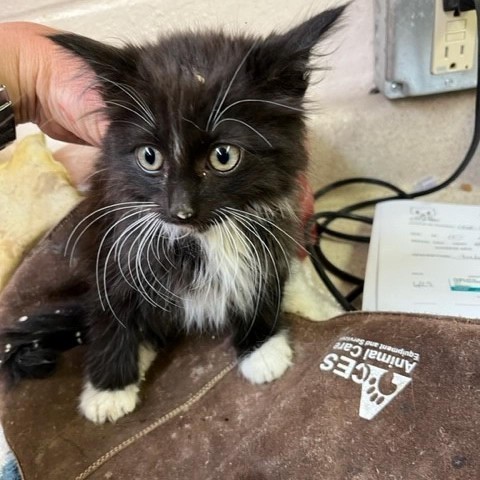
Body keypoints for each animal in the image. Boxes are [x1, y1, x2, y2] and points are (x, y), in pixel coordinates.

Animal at [0, 5, 344, 422]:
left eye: (223, 156)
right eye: (150, 157)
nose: (181, 211)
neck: (201, 239)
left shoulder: (276, 221)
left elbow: (261, 273)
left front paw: (261, 347)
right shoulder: (112, 231)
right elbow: (112, 303)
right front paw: (109, 388)